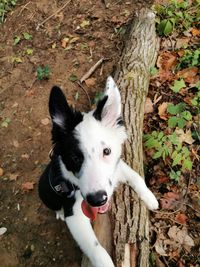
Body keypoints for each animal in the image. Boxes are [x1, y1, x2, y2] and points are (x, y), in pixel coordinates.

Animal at [38, 76, 159, 267]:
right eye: (75, 157)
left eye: (106, 151)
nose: (97, 200)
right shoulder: (75, 215)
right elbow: (96, 249)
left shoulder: (117, 167)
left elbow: (136, 176)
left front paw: (150, 198)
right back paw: (59, 213)